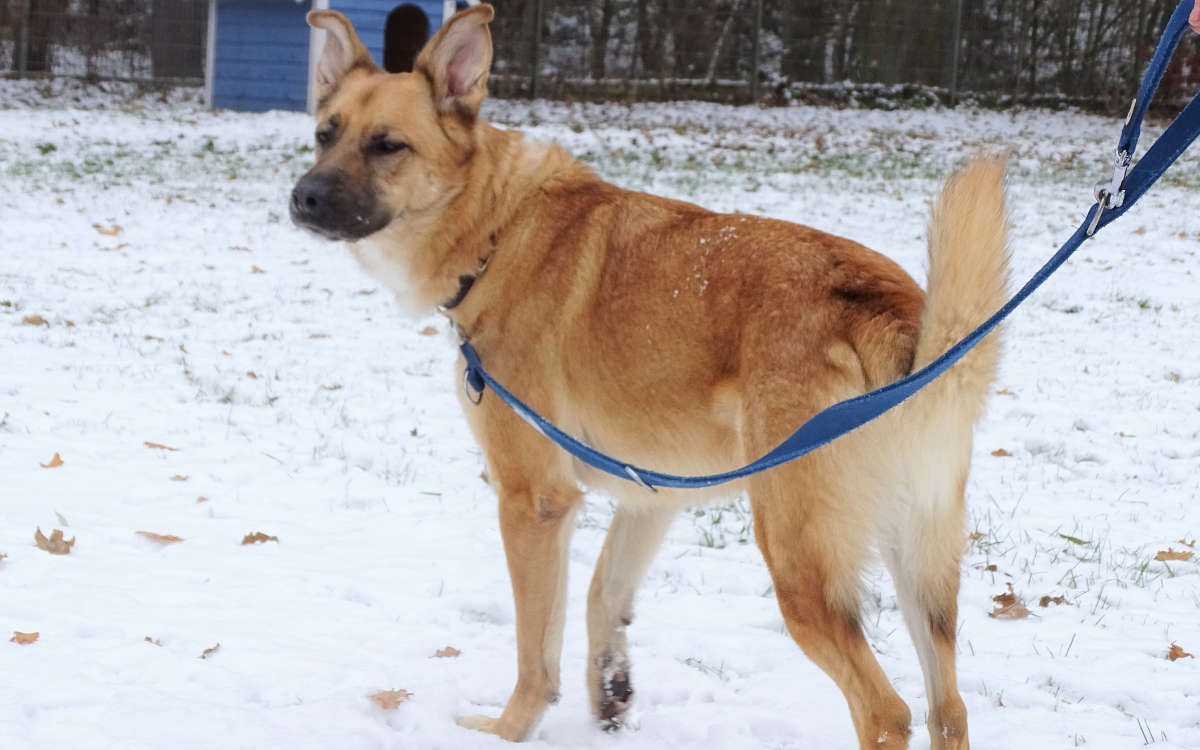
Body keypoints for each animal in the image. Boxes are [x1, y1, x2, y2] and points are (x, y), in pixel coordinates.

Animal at [292, 7, 1012, 748]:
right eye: (325, 135)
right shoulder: (651, 494)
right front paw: (610, 688)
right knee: (949, 709)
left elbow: (535, 648)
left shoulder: (533, 501)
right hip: (922, 567)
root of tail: (886, 307)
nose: (303, 197)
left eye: (388, 146)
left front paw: (506, 729)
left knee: (886, 711)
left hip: (800, 567)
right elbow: (601, 594)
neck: (497, 232)